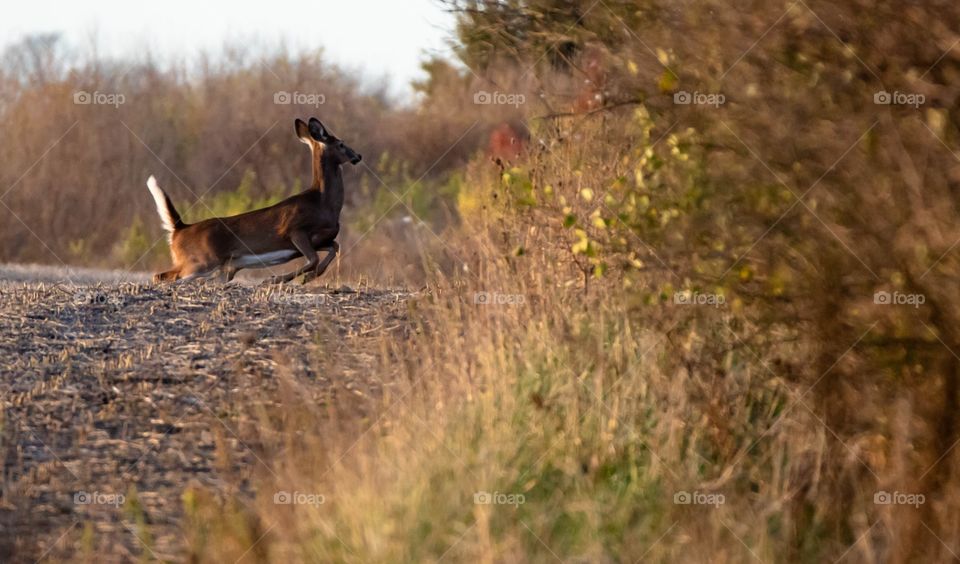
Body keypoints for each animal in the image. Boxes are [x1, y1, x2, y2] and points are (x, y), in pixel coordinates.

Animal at [146, 117, 361, 284]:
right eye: (341, 144)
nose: (358, 155)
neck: (323, 203)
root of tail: (179, 229)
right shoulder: (294, 230)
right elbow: (314, 259)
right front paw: (276, 280)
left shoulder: (317, 239)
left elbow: (334, 247)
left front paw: (308, 277)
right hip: (201, 262)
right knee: (162, 276)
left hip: (221, 269)